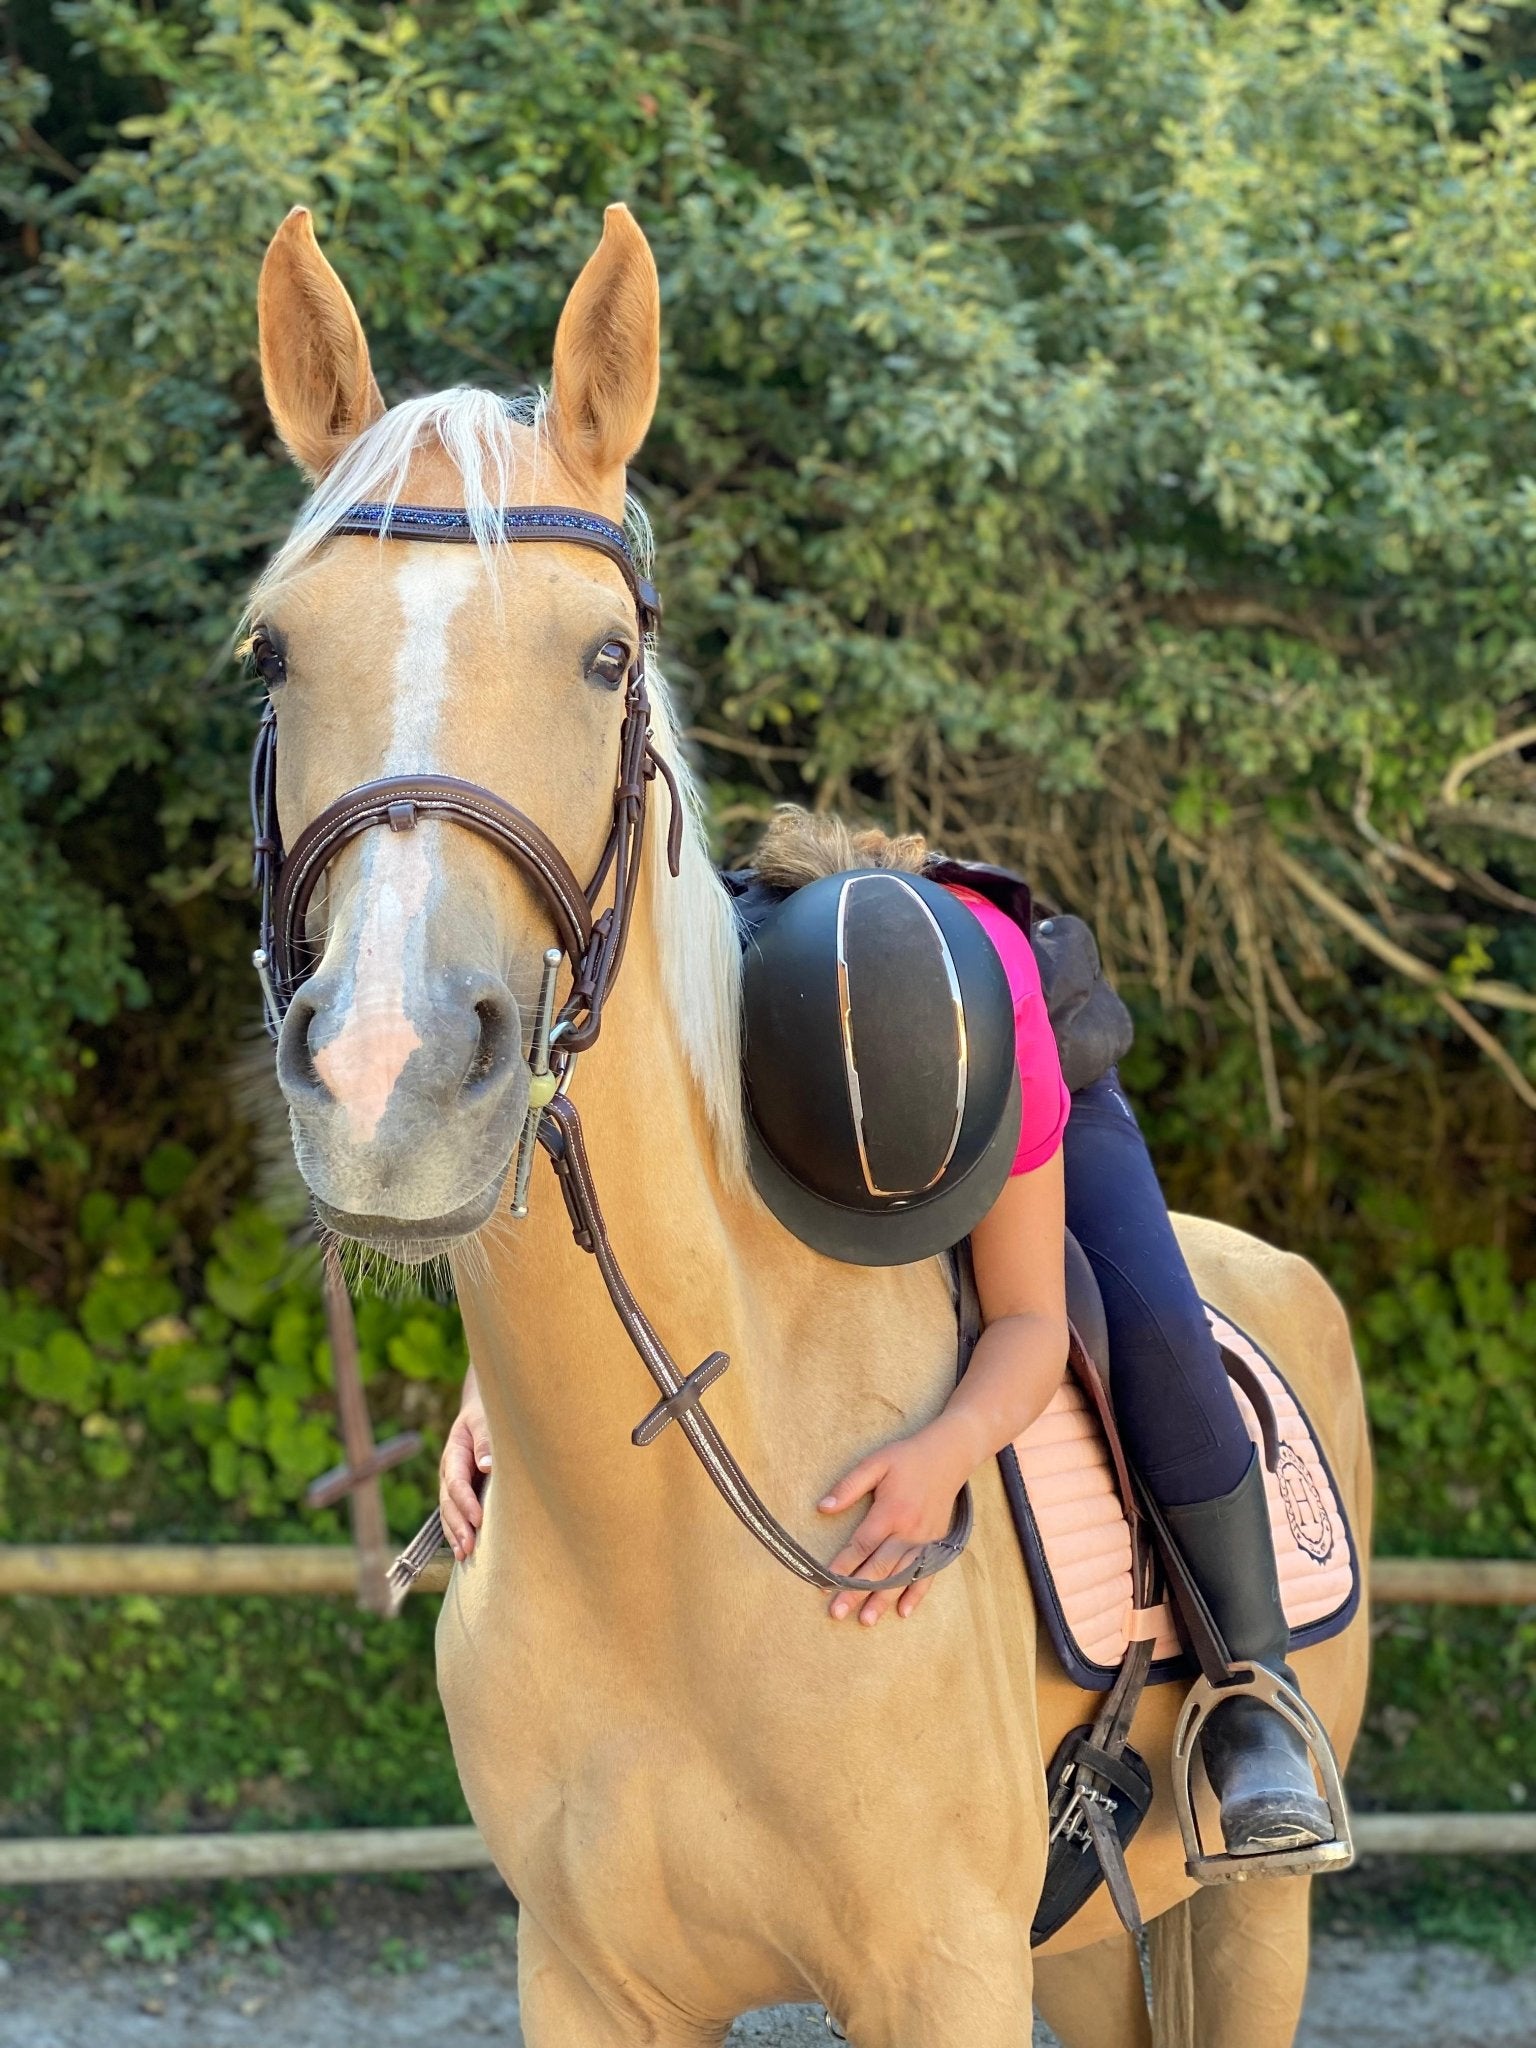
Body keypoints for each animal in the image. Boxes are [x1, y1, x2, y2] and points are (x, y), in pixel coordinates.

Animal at [249, 200, 1372, 2048]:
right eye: (272, 650)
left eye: (606, 655)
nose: (389, 1081)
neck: (670, 1520)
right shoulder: (589, 1981)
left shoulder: (943, 1968)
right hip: (1096, 1944)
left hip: (1247, 1917)